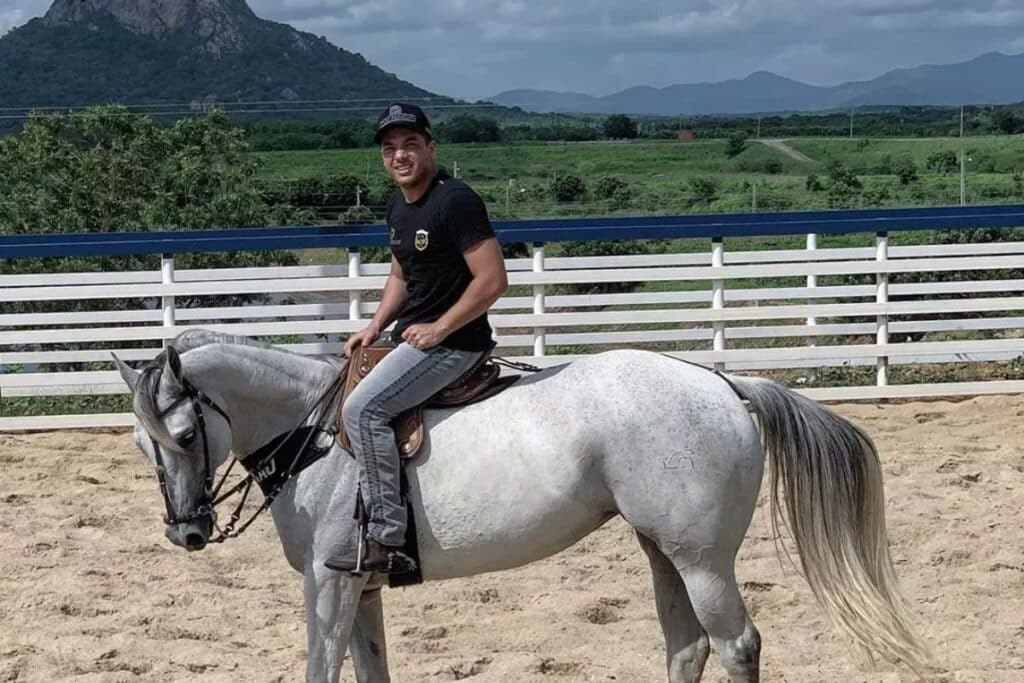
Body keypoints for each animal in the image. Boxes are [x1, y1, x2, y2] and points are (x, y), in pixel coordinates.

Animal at [112, 329, 929, 679]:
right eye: (143, 445)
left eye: (186, 434)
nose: (187, 531)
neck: (318, 434)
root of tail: (724, 384)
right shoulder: (362, 585)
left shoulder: (331, 583)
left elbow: (321, 669)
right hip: (662, 551)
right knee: (687, 647)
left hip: (703, 560)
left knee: (737, 646)